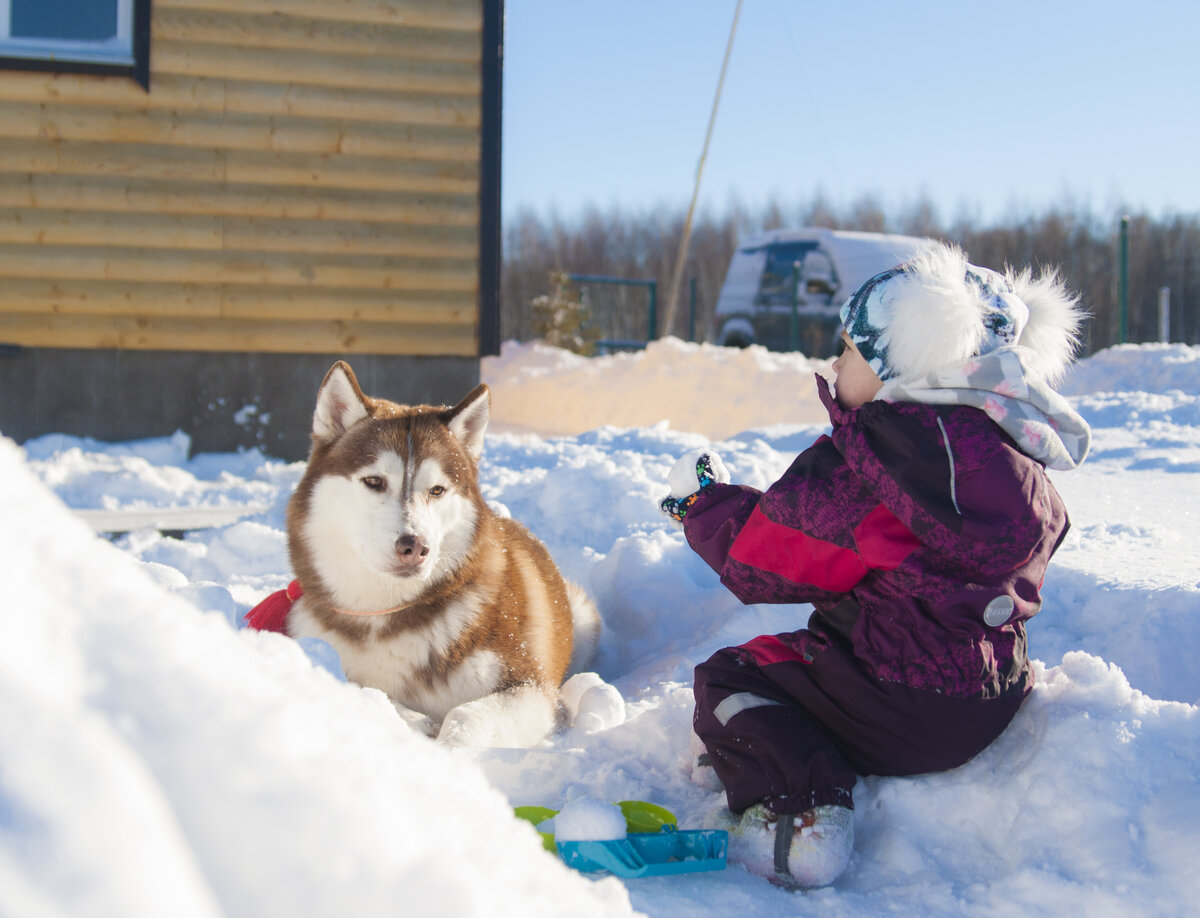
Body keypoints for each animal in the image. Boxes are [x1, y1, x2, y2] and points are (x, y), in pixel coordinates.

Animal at [282, 357, 600, 744]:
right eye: (373, 481)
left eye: (437, 490)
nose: (415, 547)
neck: (387, 616)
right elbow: (370, 693)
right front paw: (415, 722)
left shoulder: (534, 690)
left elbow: (463, 717)